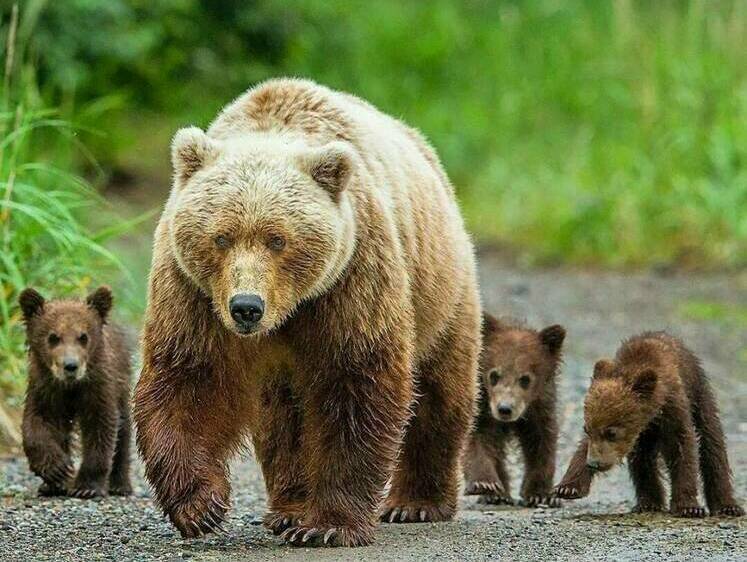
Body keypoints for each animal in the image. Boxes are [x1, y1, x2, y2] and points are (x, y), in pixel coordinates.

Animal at [135, 76, 482, 544]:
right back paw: (289, 509)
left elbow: (355, 382)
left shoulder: (351, 277)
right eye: (221, 237)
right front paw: (200, 505)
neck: (290, 311)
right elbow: (190, 378)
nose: (247, 307)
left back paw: (416, 502)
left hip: (441, 291)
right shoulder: (193, 293)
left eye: (277, 239)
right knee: (283, 419)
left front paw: (329, 524)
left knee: (441, 392)